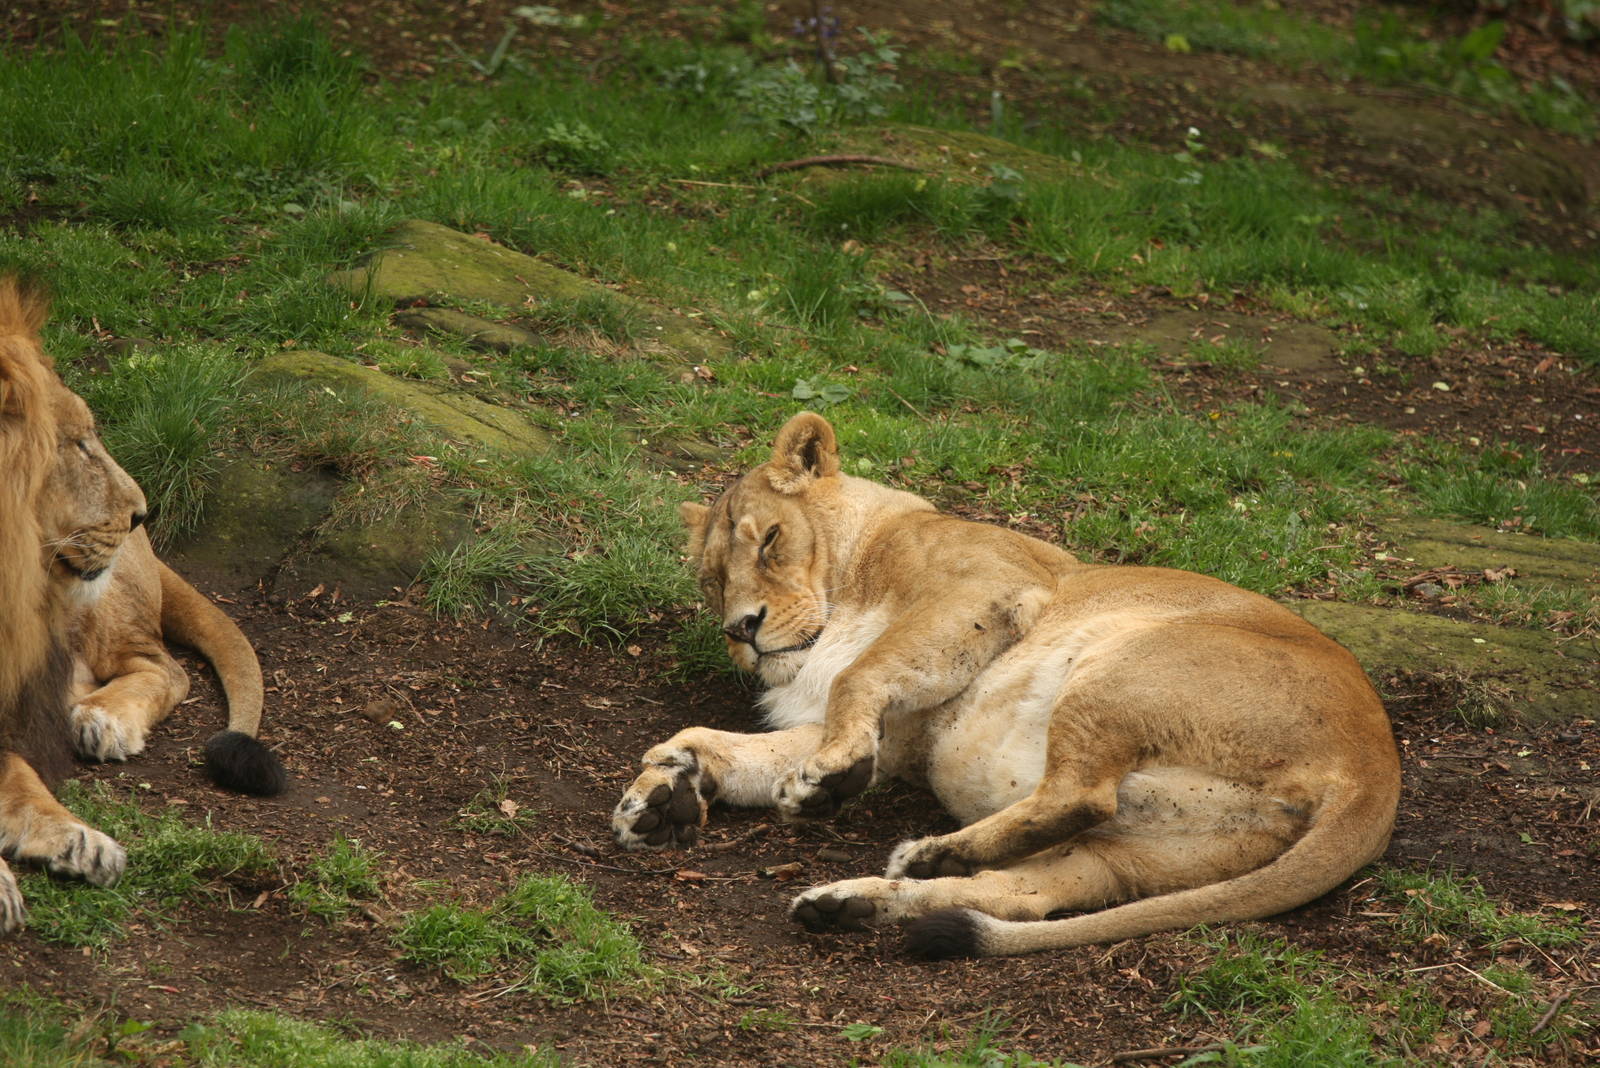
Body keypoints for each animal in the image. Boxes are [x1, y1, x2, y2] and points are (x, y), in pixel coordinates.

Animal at [0, 278, 284, 932]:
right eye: (78, 445)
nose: (139, 511)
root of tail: (152, 550)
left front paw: (76, 838)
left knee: (163, 666)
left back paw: (100, 720)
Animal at [613, 411, 1400, 958]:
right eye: (712, 582)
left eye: (771, 540)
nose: (741, 629)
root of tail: (1375, 774)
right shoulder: (903, 739)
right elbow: (732, 745)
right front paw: (664, 791)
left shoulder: (988, 587)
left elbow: (857, 680)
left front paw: (822, 781)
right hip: (1137, 854)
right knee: (1024, 894)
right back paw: (864, 898)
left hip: (1119, 665)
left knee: (1080, 792)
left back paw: (922, 855)